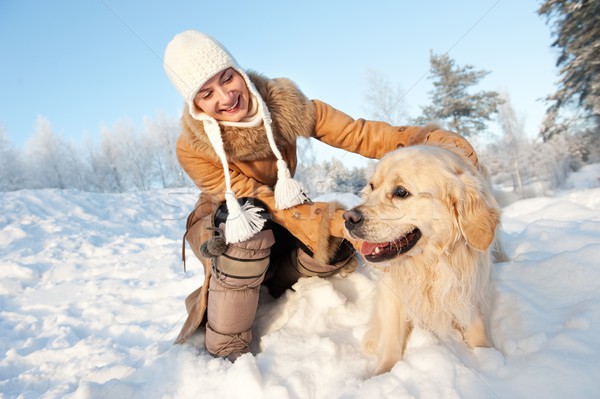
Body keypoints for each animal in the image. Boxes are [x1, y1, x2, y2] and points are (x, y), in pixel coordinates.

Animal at [344, 144, 500, 376]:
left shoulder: (472, 285)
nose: (347, 218)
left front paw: (488, 357)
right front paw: (383, 373)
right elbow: (392, 337)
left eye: (401, 192)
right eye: (372, 186)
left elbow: (477, 327)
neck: (429, 264)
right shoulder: (393, 291)